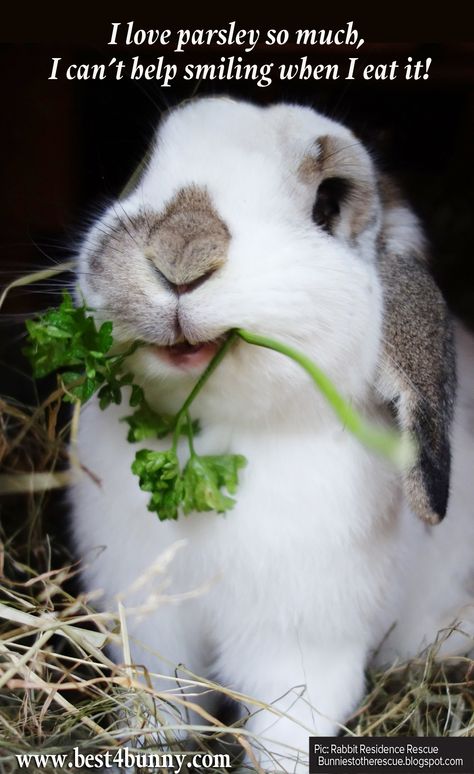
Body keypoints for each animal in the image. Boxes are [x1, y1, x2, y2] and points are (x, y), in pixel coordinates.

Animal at [71, 98, 474, 774]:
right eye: (144, 165)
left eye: (327, 203)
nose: (181, 254)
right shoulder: (150, 632)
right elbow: (158, 712)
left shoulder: (299, 652)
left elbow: (283, 733)